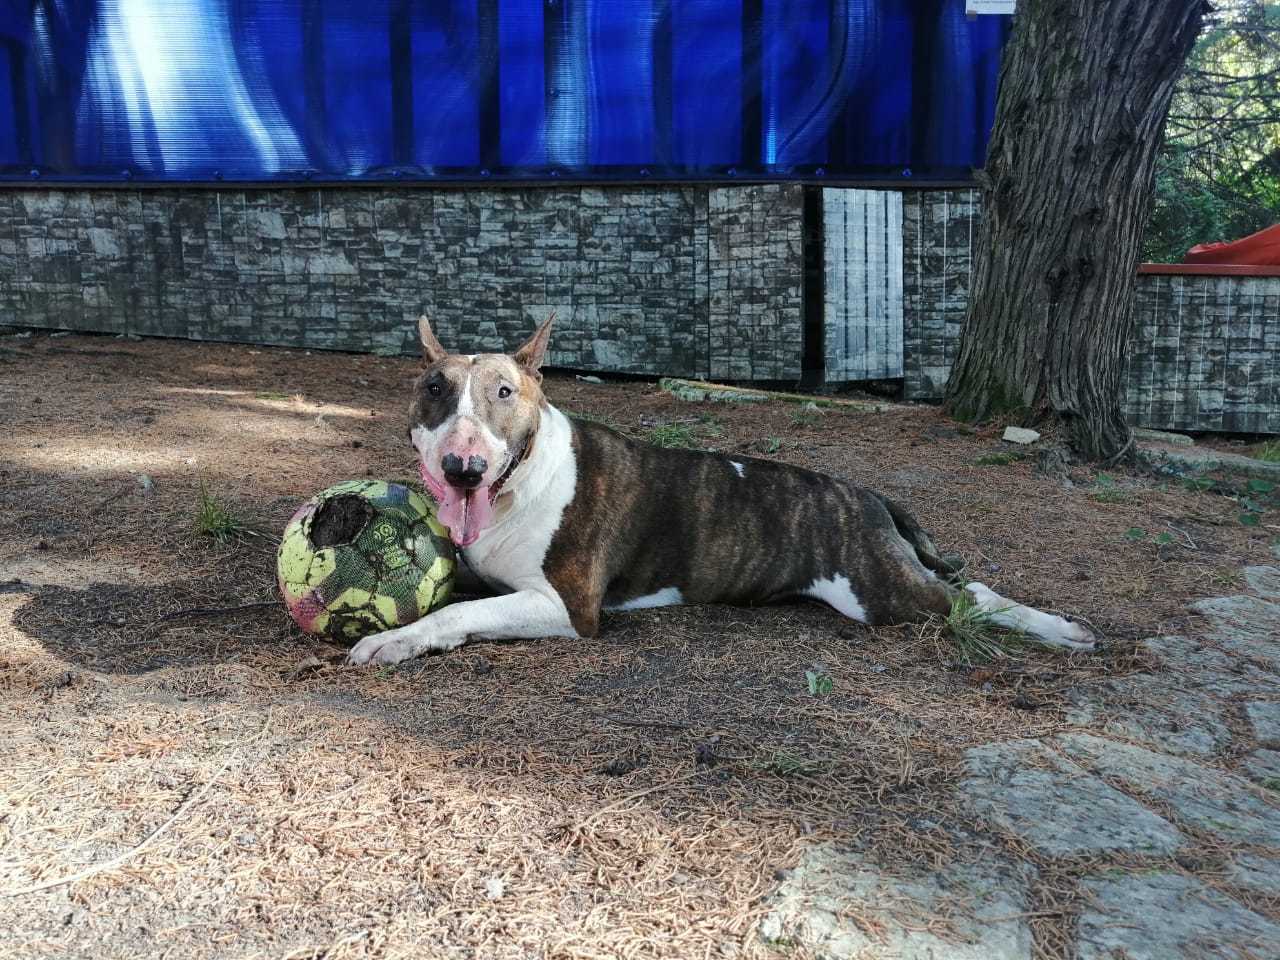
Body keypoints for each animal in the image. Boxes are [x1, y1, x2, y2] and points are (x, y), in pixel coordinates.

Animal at [345, 317, 1095, 670]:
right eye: (434, 388)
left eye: (504, 392)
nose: (463, 467)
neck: (519, 485)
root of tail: (869, 496)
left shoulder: (568, 607)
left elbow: (456, 613)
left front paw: (395, 640)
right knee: (971, 588)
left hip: (880, 593)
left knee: (966, 600)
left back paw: (1059, 628)